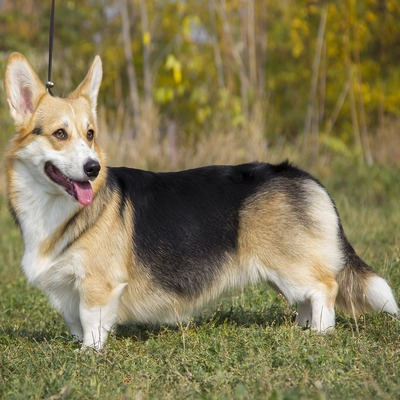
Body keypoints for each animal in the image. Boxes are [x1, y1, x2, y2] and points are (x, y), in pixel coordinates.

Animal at [3, 52, 400, 350]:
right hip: (280, 271)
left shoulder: (98, 285)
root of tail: (301, 175)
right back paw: (302, 329)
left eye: (90, 134)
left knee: (325, 288)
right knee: (306, 297)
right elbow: (76, 320)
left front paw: (89, 354)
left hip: (290, 264)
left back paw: (319, 334)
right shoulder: (66, 290)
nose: (93, 168)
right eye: (59, 134)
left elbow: (91, 321)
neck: (55, 207)